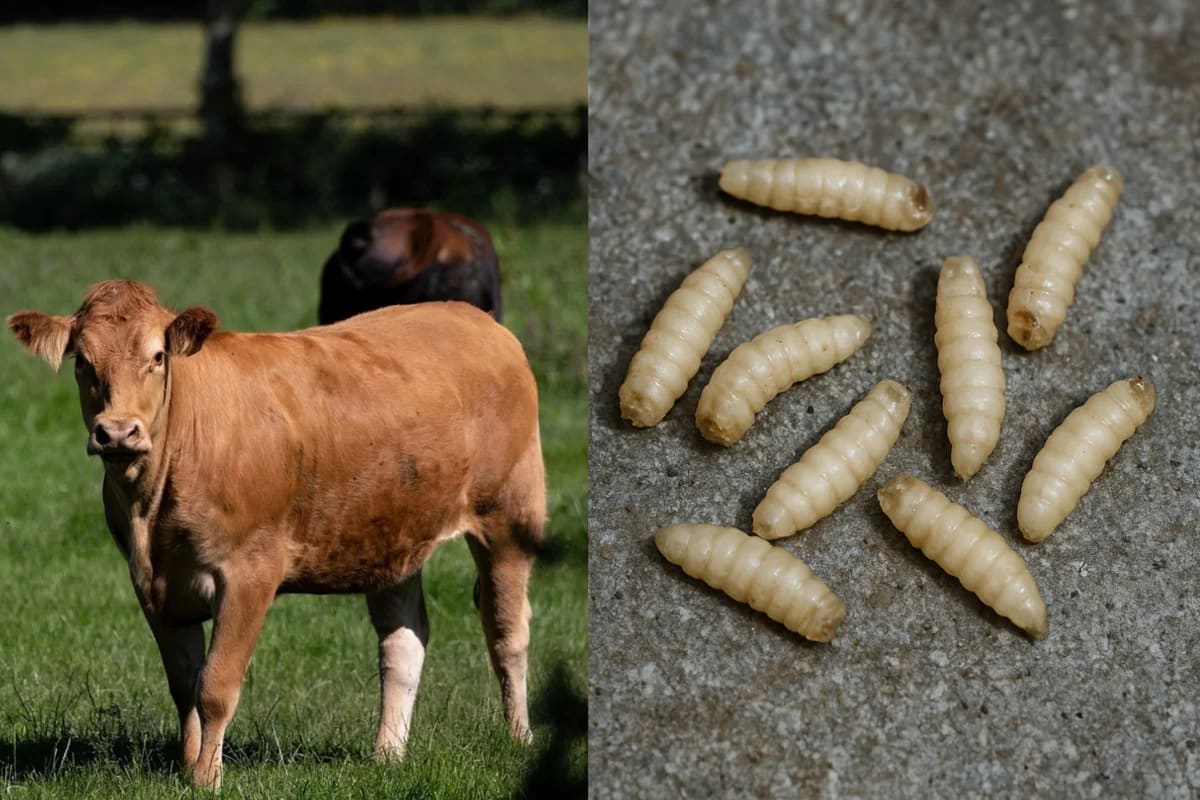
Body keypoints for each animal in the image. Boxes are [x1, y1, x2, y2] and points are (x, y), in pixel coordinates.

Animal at [7, 280, 544, 790]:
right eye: (82, 361)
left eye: (157, 357)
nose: (117, 432)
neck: (152, 506)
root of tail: (473, 317)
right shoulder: (152, 583)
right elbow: (184, 684)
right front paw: (187, 766)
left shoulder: (250, 573)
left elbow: (215, 686)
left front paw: (207, 779)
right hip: (392, 533)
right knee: (403, 642)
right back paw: (387, 756)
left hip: (509, 516)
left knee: (507, 632)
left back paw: (519, 738)